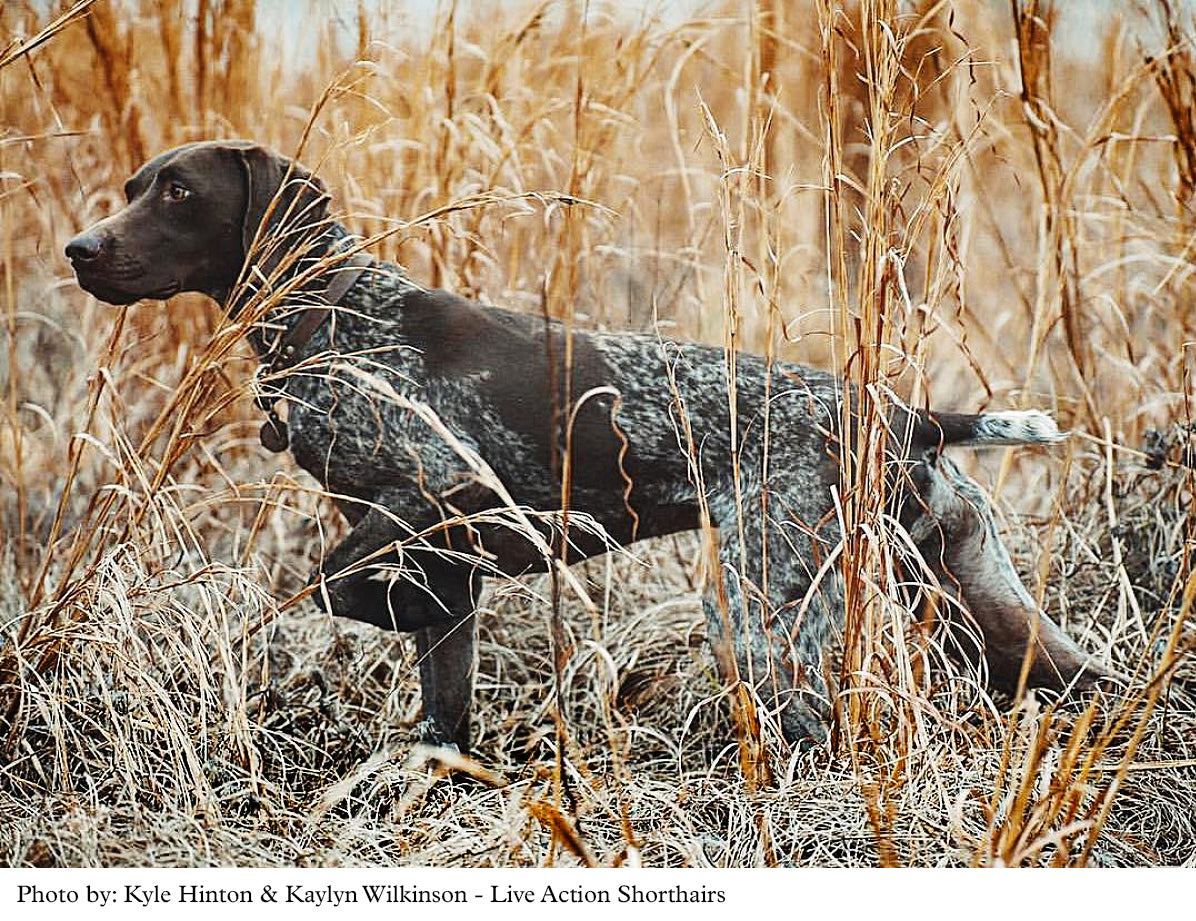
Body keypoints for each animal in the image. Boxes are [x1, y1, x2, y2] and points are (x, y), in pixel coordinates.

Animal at [65, 141, 1109, 746]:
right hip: (971, 591)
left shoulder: (445, 495)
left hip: (760, 613)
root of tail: (905, 414)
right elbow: (442, 697)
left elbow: (334, 579)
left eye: (179, 191)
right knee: (1073, 672)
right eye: (131, 188)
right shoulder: (440, 562)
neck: (341, 319)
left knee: (812, 721)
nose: (81, 248)